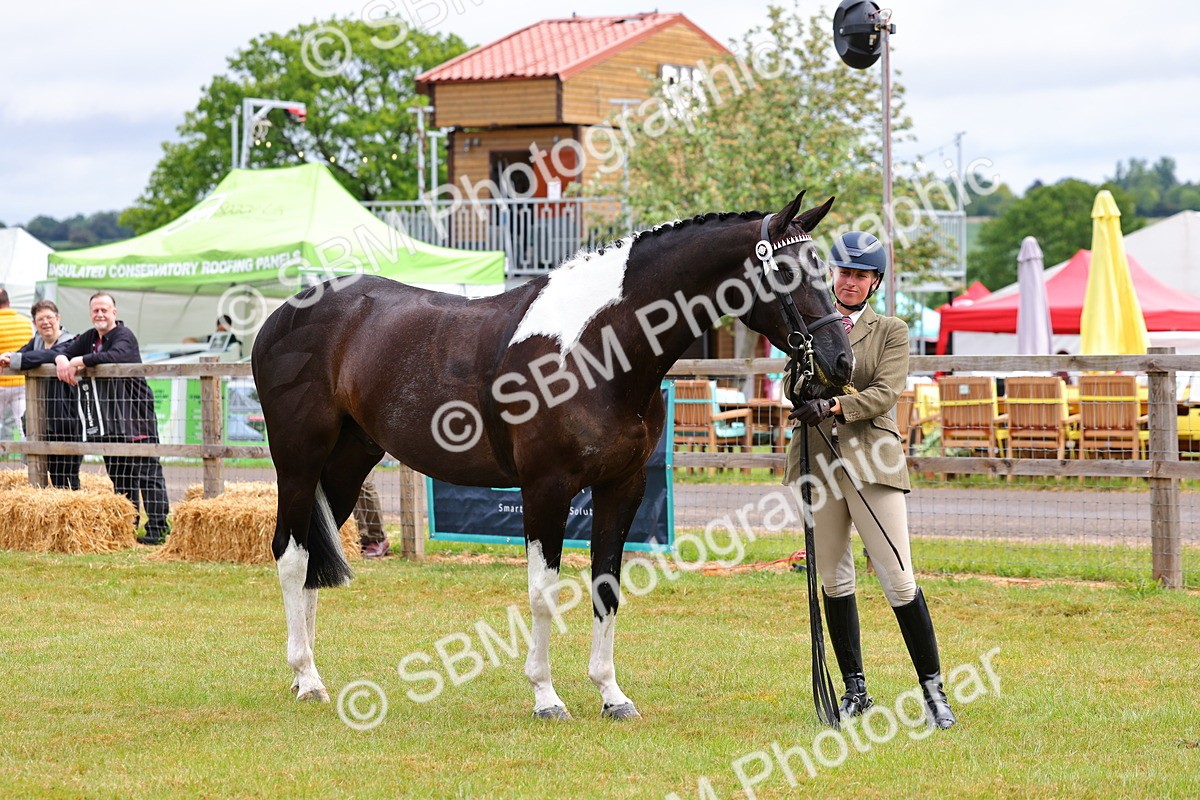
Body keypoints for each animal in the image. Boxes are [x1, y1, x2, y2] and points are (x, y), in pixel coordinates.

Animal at [251, 190, 853, 719]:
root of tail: (283, 315)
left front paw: (612, 695)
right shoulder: (546, 488)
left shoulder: (623, 487)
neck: (600, 347)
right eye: (788, 272)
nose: (840, 362)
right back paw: (306, 678)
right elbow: (543, 593)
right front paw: (546, 697)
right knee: (291, 554)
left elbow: (606, 588)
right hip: (299, 461)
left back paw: (310, 677)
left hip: (349, 463)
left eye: (826, 269)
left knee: (312, 555)